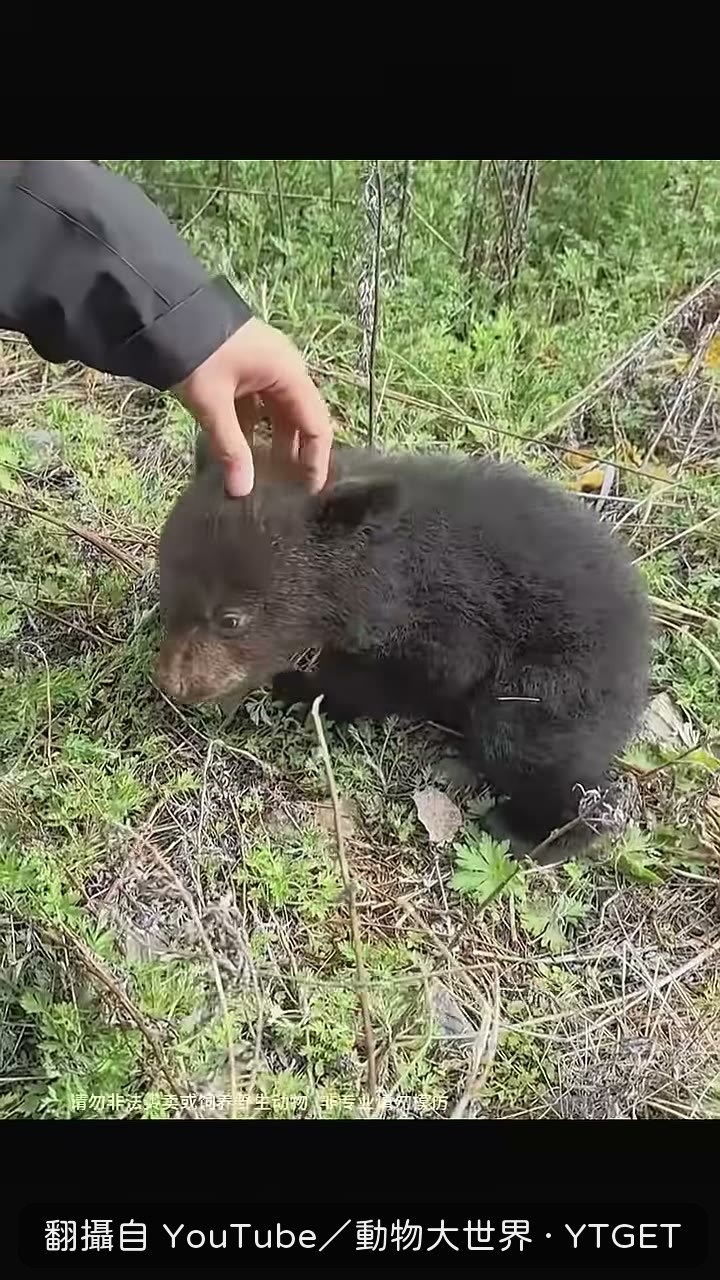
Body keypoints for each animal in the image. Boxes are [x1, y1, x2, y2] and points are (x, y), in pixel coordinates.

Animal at [155, 431, 651, 865]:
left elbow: (409, 674)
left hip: (562, 675)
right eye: (168, 594)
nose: (172, 683)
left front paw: (301, 689)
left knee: (526, 739)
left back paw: (535, 832)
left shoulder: (440, 617)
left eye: (229, 619)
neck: (371, 568)